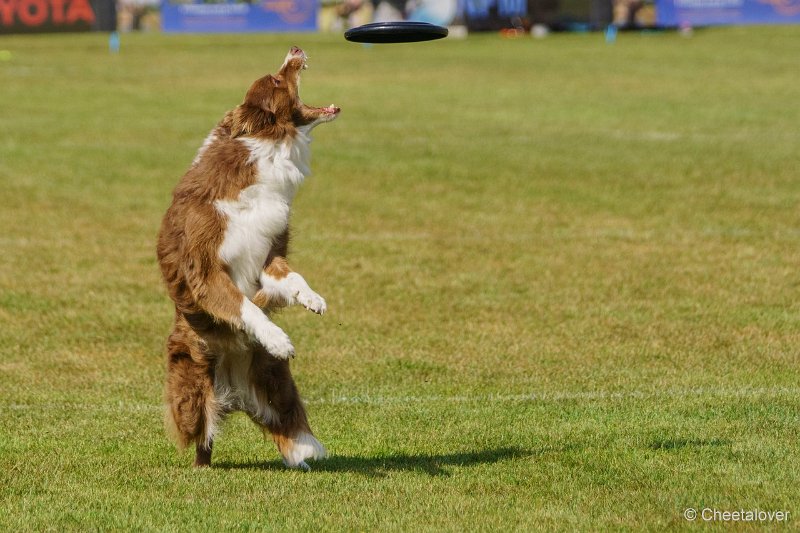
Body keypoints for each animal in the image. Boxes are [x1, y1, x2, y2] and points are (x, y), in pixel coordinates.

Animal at [157, 46, 340, 470]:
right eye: (275, 80)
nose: (295, 49)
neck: (266, 153)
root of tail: (233, 390)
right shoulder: (207, 271)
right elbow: (245, 306)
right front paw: (277, 338)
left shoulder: (267, 253)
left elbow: (290, 278)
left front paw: (312, 298)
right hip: (192, 389)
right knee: (202, 436)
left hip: (276, 384)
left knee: (287, 424)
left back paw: (305, 452)